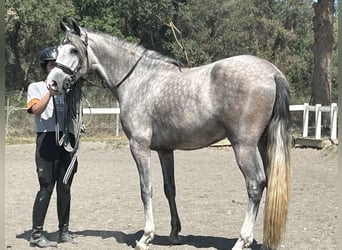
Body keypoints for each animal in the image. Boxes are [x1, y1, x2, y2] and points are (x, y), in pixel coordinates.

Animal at [46, 18, 292, 250]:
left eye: (74, 50)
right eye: (59, 49)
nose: (52, 83)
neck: (138, 80)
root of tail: (272, 73)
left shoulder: (139, 146)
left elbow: (146, 189)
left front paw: (146, 237)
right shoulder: (165, 150)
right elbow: (169, 189)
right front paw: (174, 233)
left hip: (243, 146)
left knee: (255, 184)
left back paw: (242, 240)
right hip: (264, 143)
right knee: (270, 182)